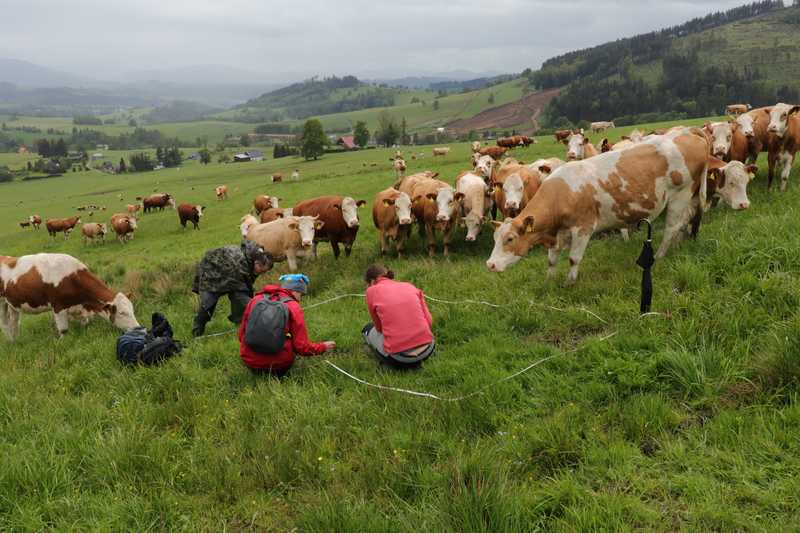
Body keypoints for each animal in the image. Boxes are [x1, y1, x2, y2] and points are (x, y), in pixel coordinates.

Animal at [0, 251, 140, 338]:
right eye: (122, 313)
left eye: (132, 310)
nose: (137, 328)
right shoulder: (58, 306)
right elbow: (64, 330)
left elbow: (85, 322)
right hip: (1, 303)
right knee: (5, 324)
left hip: (13, 304)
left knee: (14, 323)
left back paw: (16, 340)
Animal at [488, 127, 720, 282]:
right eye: (495, 239)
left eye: (510, 239)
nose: (490, 264)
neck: (561, 191)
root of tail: (688, 131)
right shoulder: (558, 233)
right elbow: (552, 260)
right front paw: (549, 281)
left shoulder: (583, 227)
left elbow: (573, 258)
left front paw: (569, 283)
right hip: (691, 195)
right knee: (690, 218)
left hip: (680, 194)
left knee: (672, 226)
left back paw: (660, 255)